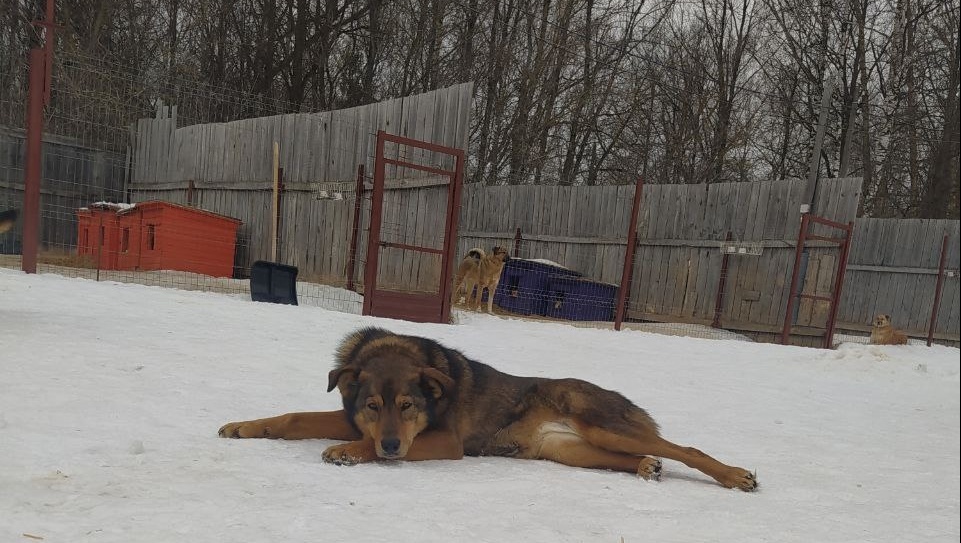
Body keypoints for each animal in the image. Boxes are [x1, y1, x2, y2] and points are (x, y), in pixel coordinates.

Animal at [219, 327, 758, 491]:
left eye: (408, 405)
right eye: (372, 404)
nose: (391, 445)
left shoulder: (444, 441)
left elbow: (364, 445)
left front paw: (349, 451)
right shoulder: (351, 413)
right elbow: (294, 418)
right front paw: (244, 427)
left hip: (604, 426)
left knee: (686, 448)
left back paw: (735, 475)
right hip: (573, 451)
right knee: (629, 459)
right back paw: (647, 466)